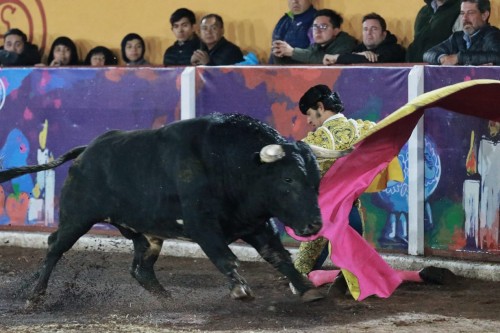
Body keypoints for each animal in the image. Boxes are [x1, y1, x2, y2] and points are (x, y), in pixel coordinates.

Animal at [0, 113, 328, 304]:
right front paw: (240, 289)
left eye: (316, 181)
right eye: (288, 179)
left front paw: (306, 287)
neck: (231, 161)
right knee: (55, 246)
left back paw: (167, 298)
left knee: (140, 268)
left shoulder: (255, 224)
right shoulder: (202, 225)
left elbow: (278, 255)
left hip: (146, 233)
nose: (314, 224)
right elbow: (226, 258)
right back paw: (35, 296)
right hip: (77, 217)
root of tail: (86, 152)